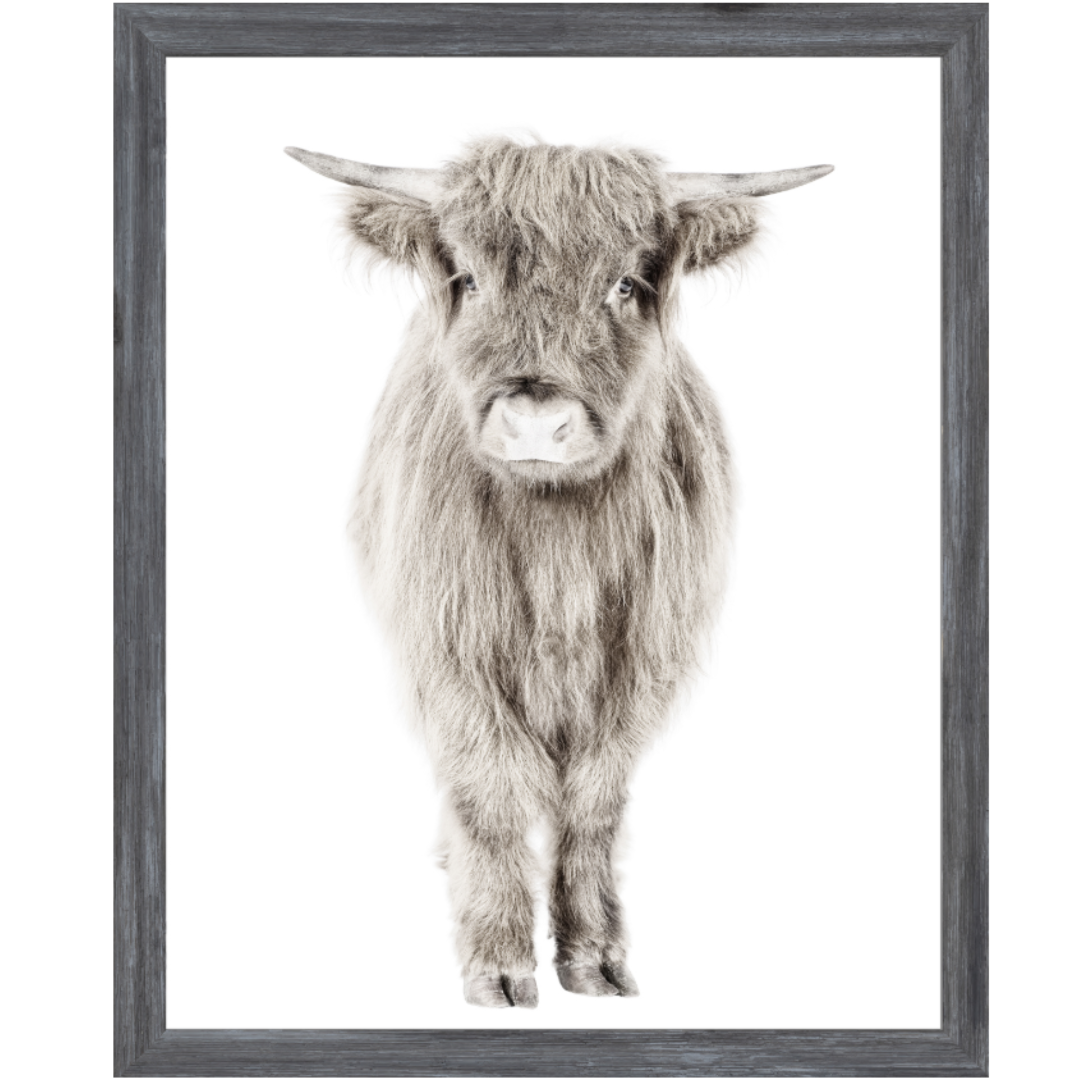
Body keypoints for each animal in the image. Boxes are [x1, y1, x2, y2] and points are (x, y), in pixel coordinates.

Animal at [287, 138, 831, 1008]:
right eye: (470, 278)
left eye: (625, 284)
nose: (536, 422)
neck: (557, 545)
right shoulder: (451, 652)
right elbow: (489, 790)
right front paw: (498, 963)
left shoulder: (641, 662)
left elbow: (594, 802)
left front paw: (596, 958)